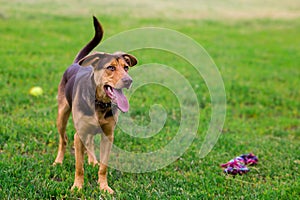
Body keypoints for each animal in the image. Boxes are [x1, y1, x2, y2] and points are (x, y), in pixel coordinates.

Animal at [53, 16, 138, 194]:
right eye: (110, 67)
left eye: (126, 67)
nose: (129, 80)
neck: (100, 103)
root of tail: (76, 63)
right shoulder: (78, 136)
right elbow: (79, 166)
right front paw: (77, 187)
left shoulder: (108, 136)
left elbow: (103, 167)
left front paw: (104, 187)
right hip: (62, 115)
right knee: (63, 139)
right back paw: (58, 161)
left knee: (90, 142)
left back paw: (92, 160)